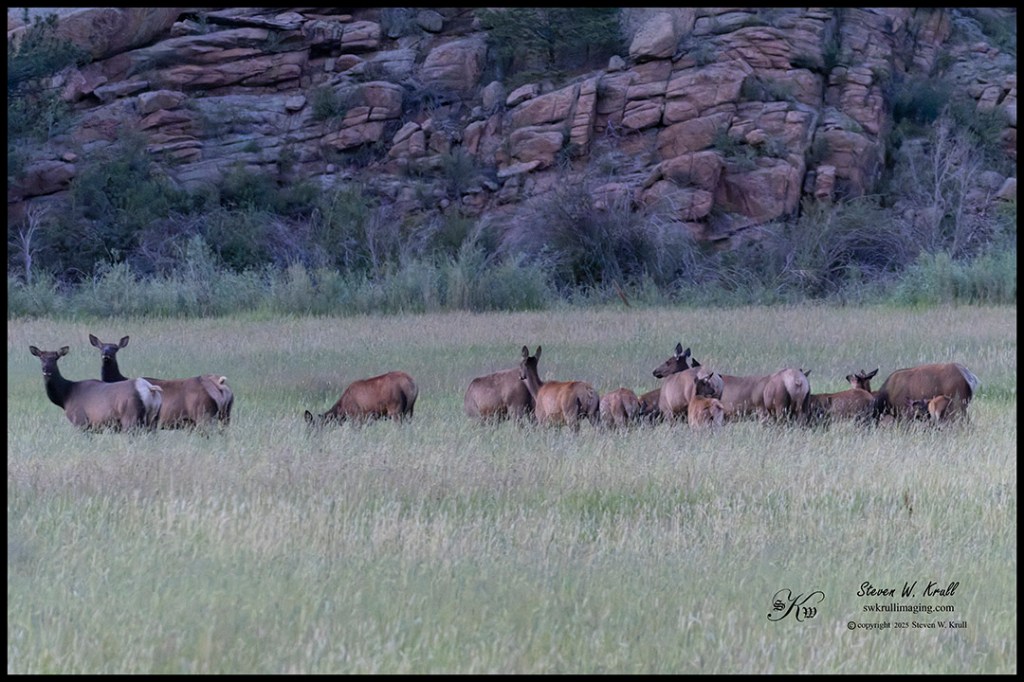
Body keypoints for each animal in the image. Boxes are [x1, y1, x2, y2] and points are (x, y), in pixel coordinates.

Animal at [29, 345, 162, 431]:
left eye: (55, 358)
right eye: (41, 358)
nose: (46, 370)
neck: (65, 397)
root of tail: (150, 389)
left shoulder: (81, 421)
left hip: (131, 418)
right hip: (153, 420)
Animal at [89, 334, 233, 429]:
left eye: (115, 348)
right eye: (101, 347)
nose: (106, 355)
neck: (119, 379)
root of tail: (221, 386)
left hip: (203, 414)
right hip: (226, 414)